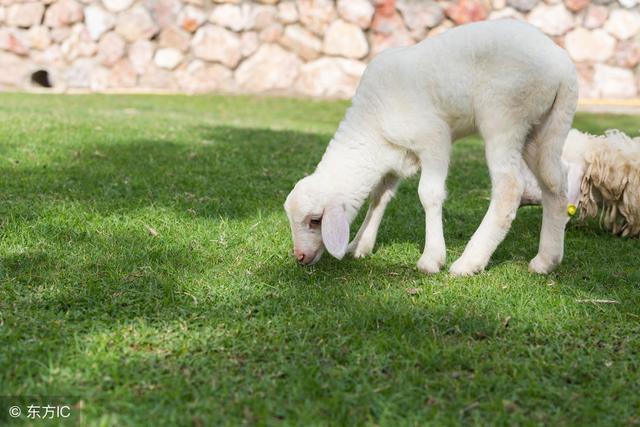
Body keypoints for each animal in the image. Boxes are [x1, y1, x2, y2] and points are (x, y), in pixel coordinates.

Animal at [284, 20, 580, 276]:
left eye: (315, 220)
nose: (299, 257)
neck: (370, 126)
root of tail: (562, 63)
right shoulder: (393, 155)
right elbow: (379, 197)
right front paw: (360, 245)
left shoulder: (434, 138)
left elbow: (429, 194)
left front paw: (432, 258)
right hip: (545, 125)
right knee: (554, 182)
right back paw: (546, 260)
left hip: (504, 115)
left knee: (510, 187)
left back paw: (470, 262)